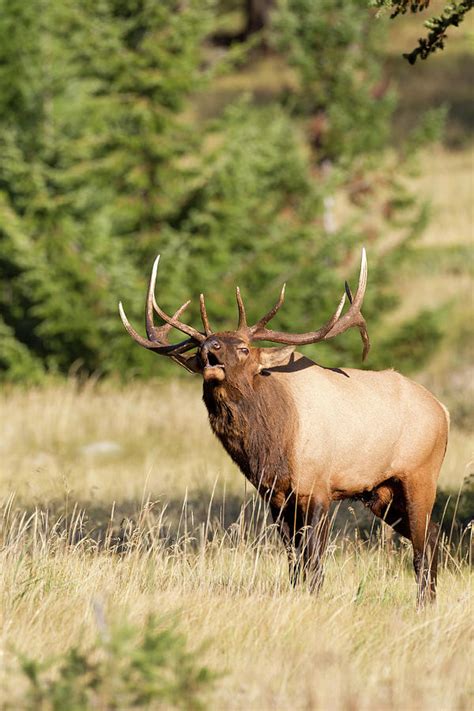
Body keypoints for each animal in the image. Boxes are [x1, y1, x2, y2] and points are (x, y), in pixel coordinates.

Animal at [118, 250, 448, 608]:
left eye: (244, 348)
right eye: (201, 345)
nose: (210, 347)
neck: (272, 447)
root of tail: (442, 410)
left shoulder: (317, 486)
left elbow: (313, 557)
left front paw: (314, 597)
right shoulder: (275, 496)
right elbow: (294, 560)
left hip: (420, 473)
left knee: (423, 543)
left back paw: (424, 603)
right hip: (380, 491)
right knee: (432, 534)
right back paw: (430, 600)